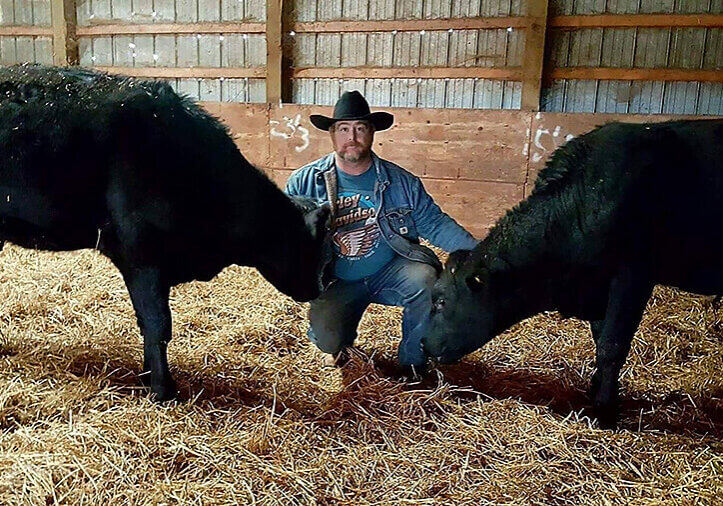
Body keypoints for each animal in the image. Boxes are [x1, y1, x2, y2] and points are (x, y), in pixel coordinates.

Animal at [0, 64, 329, 401]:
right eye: (307, 243)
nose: (319, 288)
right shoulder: (141, 256)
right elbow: (157, 323)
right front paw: (162, 389)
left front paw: (149, 376)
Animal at [423, 119, 723, 429]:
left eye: (441, 301)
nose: (423, 343)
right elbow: (600, 338)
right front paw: (598, 392)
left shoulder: (634, 275)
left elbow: (612, 345)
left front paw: (604, 411)